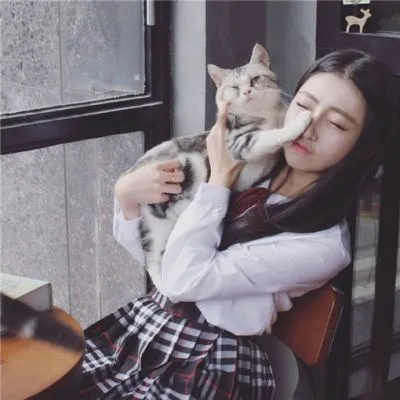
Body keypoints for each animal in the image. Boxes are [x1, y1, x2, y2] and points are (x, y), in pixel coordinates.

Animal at [120, 43, 311, 290]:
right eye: (234, 87)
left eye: (256, 79)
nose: (247, 92)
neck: (263, 116)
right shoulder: (240, 142)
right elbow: (271, 136)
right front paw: (301, 121)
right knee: (154, 260)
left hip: (157, 228)